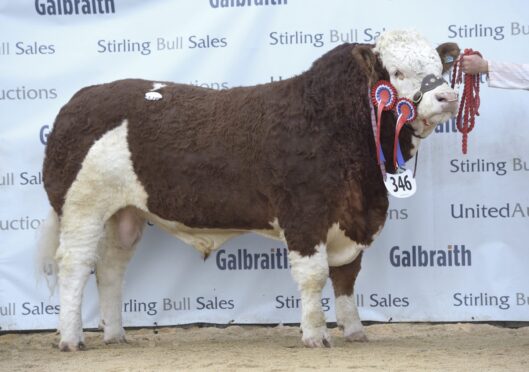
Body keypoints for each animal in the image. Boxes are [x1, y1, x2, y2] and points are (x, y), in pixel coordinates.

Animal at [38, 30, 458, 350]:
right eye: (397, 71)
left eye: (439, 69)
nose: (449, 97)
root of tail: (82, 98)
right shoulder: (304, 213)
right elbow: (315, 275)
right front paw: (315, 334)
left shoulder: (352, 216)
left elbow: (346, 275)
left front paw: (354, 330)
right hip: (82, 206)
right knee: (75, 264)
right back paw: (72, 339)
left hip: (124, 213)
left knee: (111, 268)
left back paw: (115, 335)